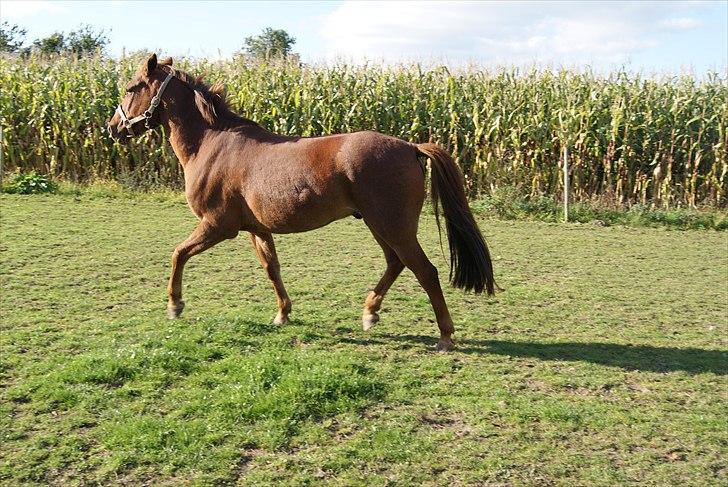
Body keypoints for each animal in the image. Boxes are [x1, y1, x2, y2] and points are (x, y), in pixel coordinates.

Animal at [106, 55, 494, 352]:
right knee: (396, 263)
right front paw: (282, 313)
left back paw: (445, 337)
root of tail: (411, 147)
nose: (113, 128)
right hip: (380, 225)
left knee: (425, 271)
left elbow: (178, 253)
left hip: (392, 226)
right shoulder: (256, 229)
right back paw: (370, 312)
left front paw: (175, 305)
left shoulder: (218, 226)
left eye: (132, 88)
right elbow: (272, 269)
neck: (213, 144)